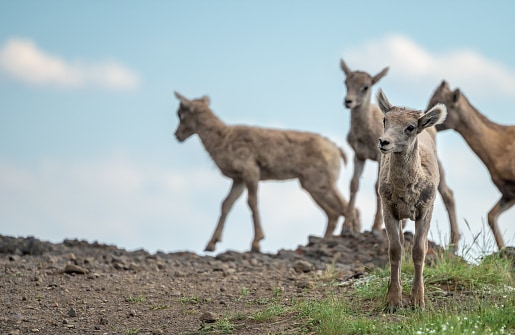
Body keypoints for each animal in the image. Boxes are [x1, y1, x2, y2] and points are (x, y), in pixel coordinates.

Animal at [173, 91, 354, 252]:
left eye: (180, 114)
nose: (177, 135)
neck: (222, 139)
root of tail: (337, 150)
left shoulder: (251, 172)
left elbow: (252, 203)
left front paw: (256, 244)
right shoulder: (238, 180)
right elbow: (226, 204)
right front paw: (210, 245)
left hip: (319, 183)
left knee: (347, 208)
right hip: (311, 186)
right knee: (334, 213)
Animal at [340, 59, 462, 248]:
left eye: (366, 87)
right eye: (346, 82)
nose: (348, 101)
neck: (365, 129)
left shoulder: (378, 158)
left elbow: (375, 186)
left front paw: (376, 229)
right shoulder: (359, 155)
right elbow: (354, 184)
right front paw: (346, 229)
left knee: (447, 193)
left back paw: (454, 241)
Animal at [374, 90, 448, 312]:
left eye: (410, 127)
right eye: (385, 120)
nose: (384, 142)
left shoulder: (425, 211)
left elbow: (419, 251)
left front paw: (418, 301)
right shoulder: (389, 209)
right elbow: (395, 250)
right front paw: (393, 301)